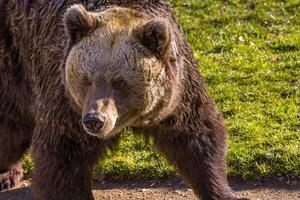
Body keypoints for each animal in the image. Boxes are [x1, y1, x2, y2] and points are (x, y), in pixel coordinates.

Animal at [0, 0, 246, 200]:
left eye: (119, 82)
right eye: (87, 79)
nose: (94, 120)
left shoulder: (178, 95)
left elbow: (199, 139)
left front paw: (223, 192)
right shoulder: (66, 102)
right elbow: (62, 158)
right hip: (12, 46)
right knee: (11, 118)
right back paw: (6, 173)